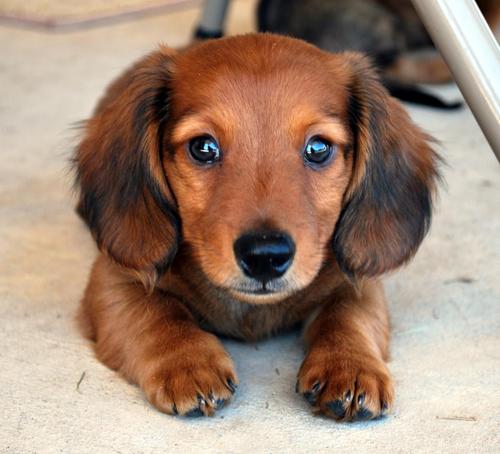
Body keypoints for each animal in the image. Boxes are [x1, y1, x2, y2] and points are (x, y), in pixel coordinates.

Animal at [73, 34, 438, 422]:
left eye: (318, 148)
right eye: (203, 147)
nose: (265, 256)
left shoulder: (357, 279)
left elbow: (348, 314)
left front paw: (350, 365)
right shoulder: (113, 278)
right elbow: (156, 313)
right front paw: (187, 362)